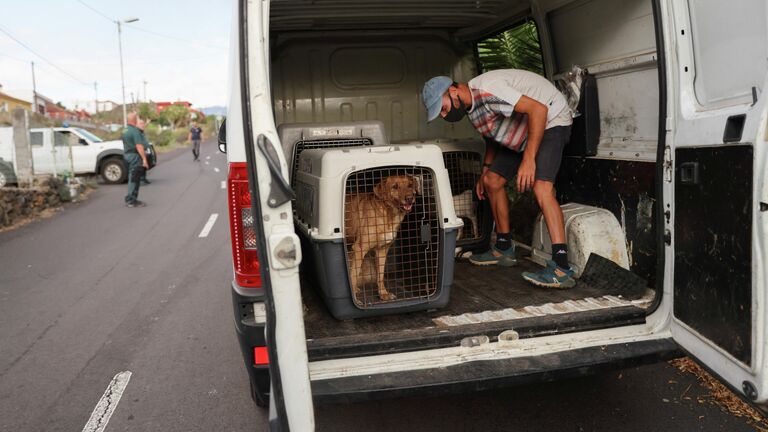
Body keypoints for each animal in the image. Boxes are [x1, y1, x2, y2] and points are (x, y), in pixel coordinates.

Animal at [346, 174, 424, 302]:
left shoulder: (382, 250)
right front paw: (355, 300)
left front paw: (383, 294)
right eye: (395, 187)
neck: (388, 215)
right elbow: (353, 275)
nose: (409, 198)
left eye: (410, 185)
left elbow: (380, 275)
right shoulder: (359, 249)